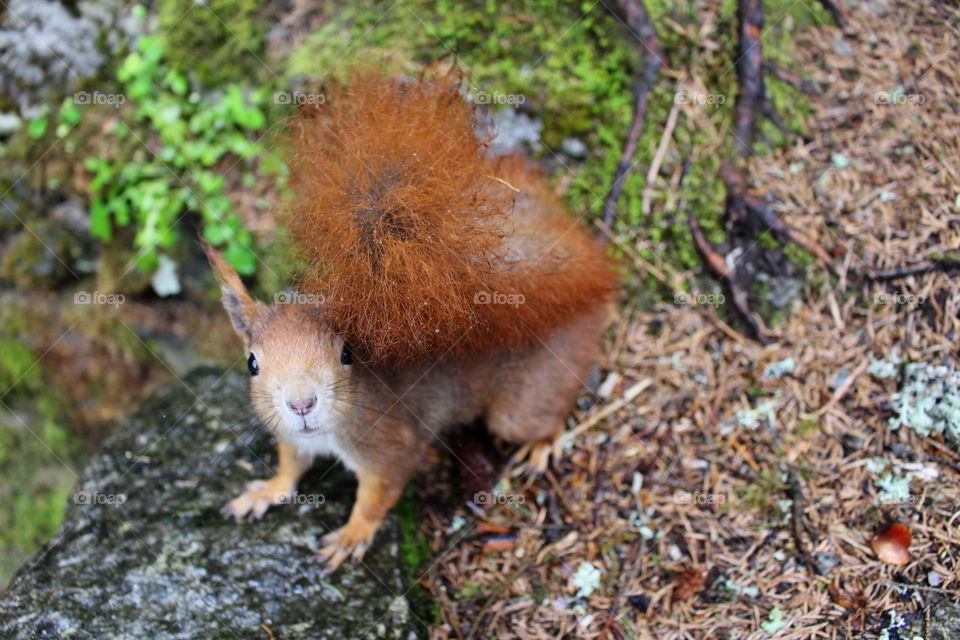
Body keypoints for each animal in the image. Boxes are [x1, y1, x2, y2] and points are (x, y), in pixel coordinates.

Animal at [206, 72, 620, 572]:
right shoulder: (292, 438)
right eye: (252, 363)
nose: (301, 404)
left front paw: (353, 534)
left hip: (522, 403)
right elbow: (289, 468)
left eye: (347, 354)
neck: (328, 431)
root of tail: (586, 291)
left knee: (547, 417)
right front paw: (265, 492)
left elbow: (376, 495)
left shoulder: (391, 446)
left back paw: (541, 447)